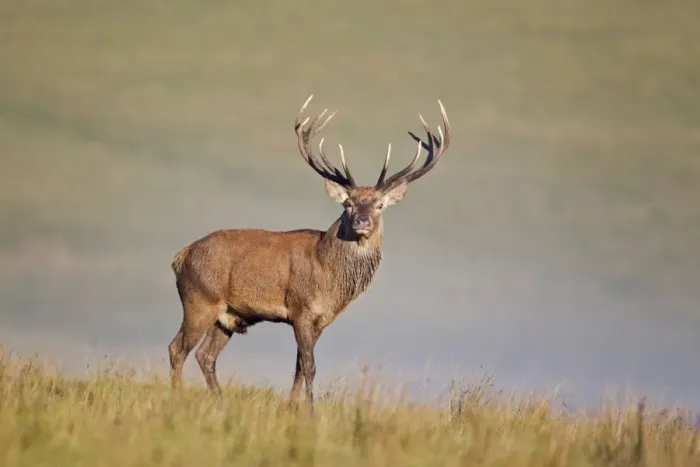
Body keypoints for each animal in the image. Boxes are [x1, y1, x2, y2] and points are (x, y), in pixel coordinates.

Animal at [167, 95, 451, 409]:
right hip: (199, 299)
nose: (362, 221)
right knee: (177, 348)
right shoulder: (300, 309)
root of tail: (180, 256)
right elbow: (310, 366)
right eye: (348, 204)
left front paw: (293, 407)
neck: (329, 276)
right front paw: (311, 410)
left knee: (205, 355)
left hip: (228, 315)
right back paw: (176, 397)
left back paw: (220, 402)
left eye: (379, 205)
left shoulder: (321, 320)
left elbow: (300, 367)